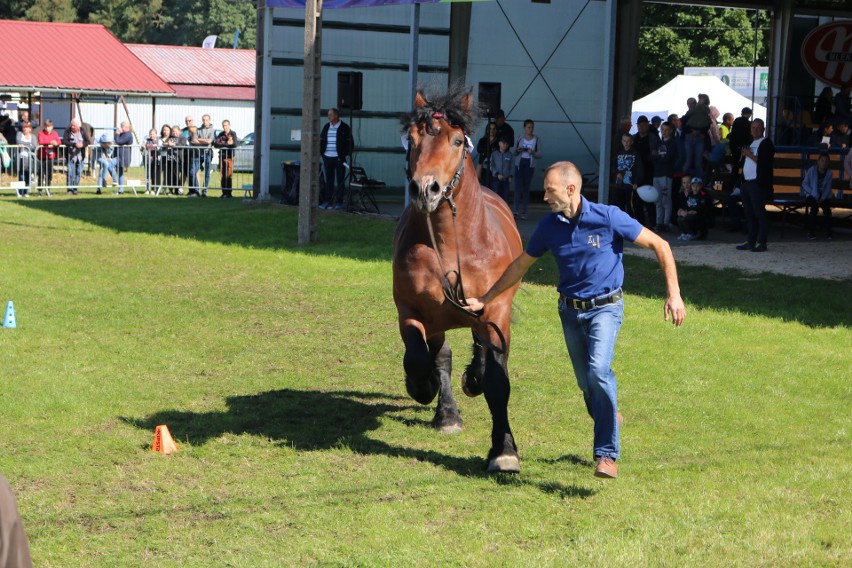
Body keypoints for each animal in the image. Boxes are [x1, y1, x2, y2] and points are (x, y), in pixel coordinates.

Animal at [394, 85, 524, 474]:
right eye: (412, 140)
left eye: (455, 141)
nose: (426, 189)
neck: (451, 245)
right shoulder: (411, 311)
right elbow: (420, 360)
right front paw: (421, 388)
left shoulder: (494, 312)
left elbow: (497, 380)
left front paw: (503, 451)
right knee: (440, 356)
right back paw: (446, 413)